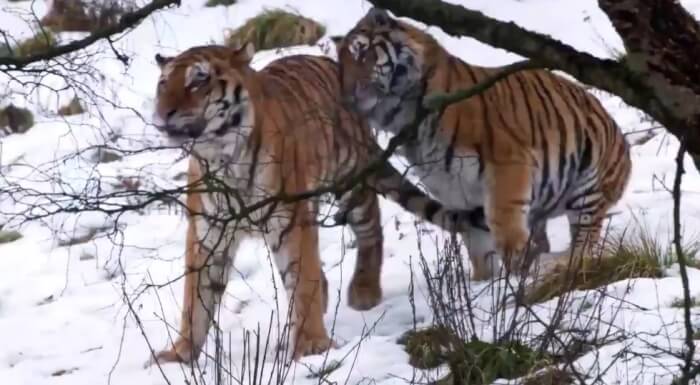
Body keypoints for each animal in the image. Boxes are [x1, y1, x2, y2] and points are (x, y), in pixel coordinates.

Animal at [148, 43, 482, 362]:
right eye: (163, 84)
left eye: (198, 81)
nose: (163, 114)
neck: (221, 154)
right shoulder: (209, 231)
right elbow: (196, 297)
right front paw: (180, 353)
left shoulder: (290, 220)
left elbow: (302, 279)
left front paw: (311, 346)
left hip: (350, 178)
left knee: (371, 230)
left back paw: (364, 290)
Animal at [330, 7, 632, 280]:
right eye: (340, 65)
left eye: (362, 53)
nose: (346, 96)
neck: (406, 119)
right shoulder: (455, 190)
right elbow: (477, 245)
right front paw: (483, 285)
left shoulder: (507, 165)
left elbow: (505, 225)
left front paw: (518, 275)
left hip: (588, 188)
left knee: (585, 245)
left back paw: (560, 264)